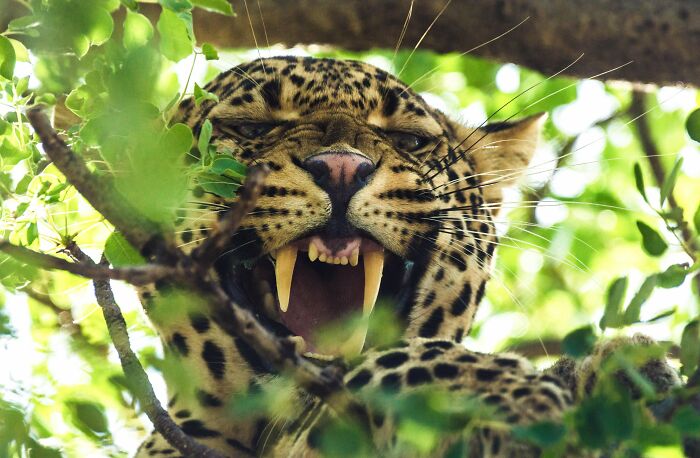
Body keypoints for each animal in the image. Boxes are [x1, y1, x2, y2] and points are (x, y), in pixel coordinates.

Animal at [134, 56, 680, 457]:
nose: (341, 167)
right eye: (248, 128)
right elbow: (403, 358)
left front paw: (620, 371)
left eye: (409, 141)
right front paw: (507, 397)